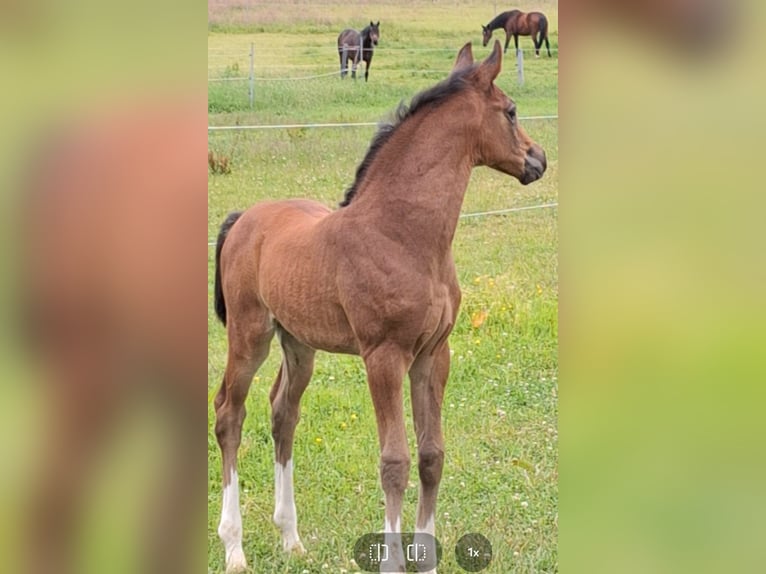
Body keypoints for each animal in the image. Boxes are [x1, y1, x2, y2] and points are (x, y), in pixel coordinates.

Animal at [213, 40, 546, 573]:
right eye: (511, 111)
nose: (539, 160)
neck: (403, 234)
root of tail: (244, 217)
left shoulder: (433, 354)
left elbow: (431, 455)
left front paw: (427, 560)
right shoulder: (384, 356)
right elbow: (395, 461)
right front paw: (392, 560)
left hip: (298, 343)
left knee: (283, 413)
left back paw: (291, 538)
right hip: (249, 335)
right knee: (229, 413)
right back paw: (235, 548)